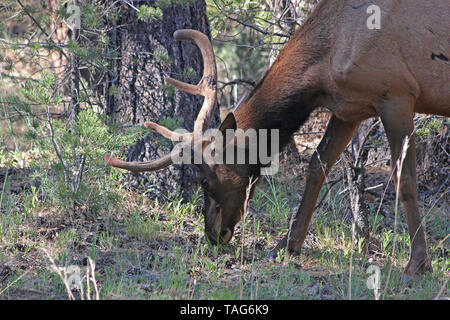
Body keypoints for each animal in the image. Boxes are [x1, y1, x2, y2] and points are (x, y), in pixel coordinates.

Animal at [106, 0, 450, 278]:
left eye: (204, 180)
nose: (213, 234)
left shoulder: (397, 95)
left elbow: (405, 181)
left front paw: (418, 265)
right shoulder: (349, 108)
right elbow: (317, 166)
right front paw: (286, 244)